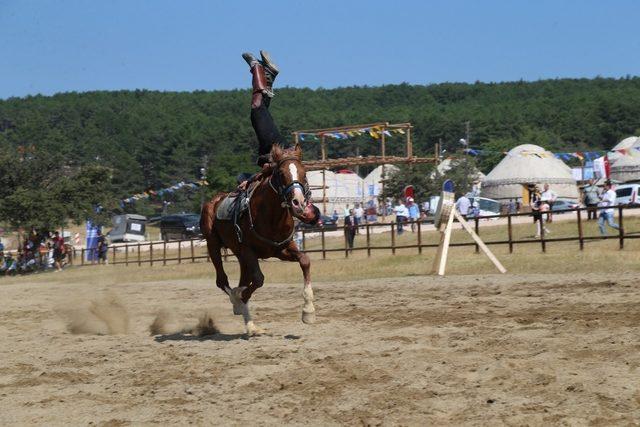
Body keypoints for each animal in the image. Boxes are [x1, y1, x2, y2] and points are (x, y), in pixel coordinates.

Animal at [201, 145, 316, 336]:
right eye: (281, 173)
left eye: (304, 172)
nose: (298, 202)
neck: (270, 215)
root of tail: (212, 202)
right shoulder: (249, 250)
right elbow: (258, 279)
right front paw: (239, 298)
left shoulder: (282, 249)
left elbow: (305, 261)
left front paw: (308, 311)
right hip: (214, 245)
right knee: (222, 280)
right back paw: (238, 303)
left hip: (240, 255)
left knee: (243, 279)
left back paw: (250, 325)